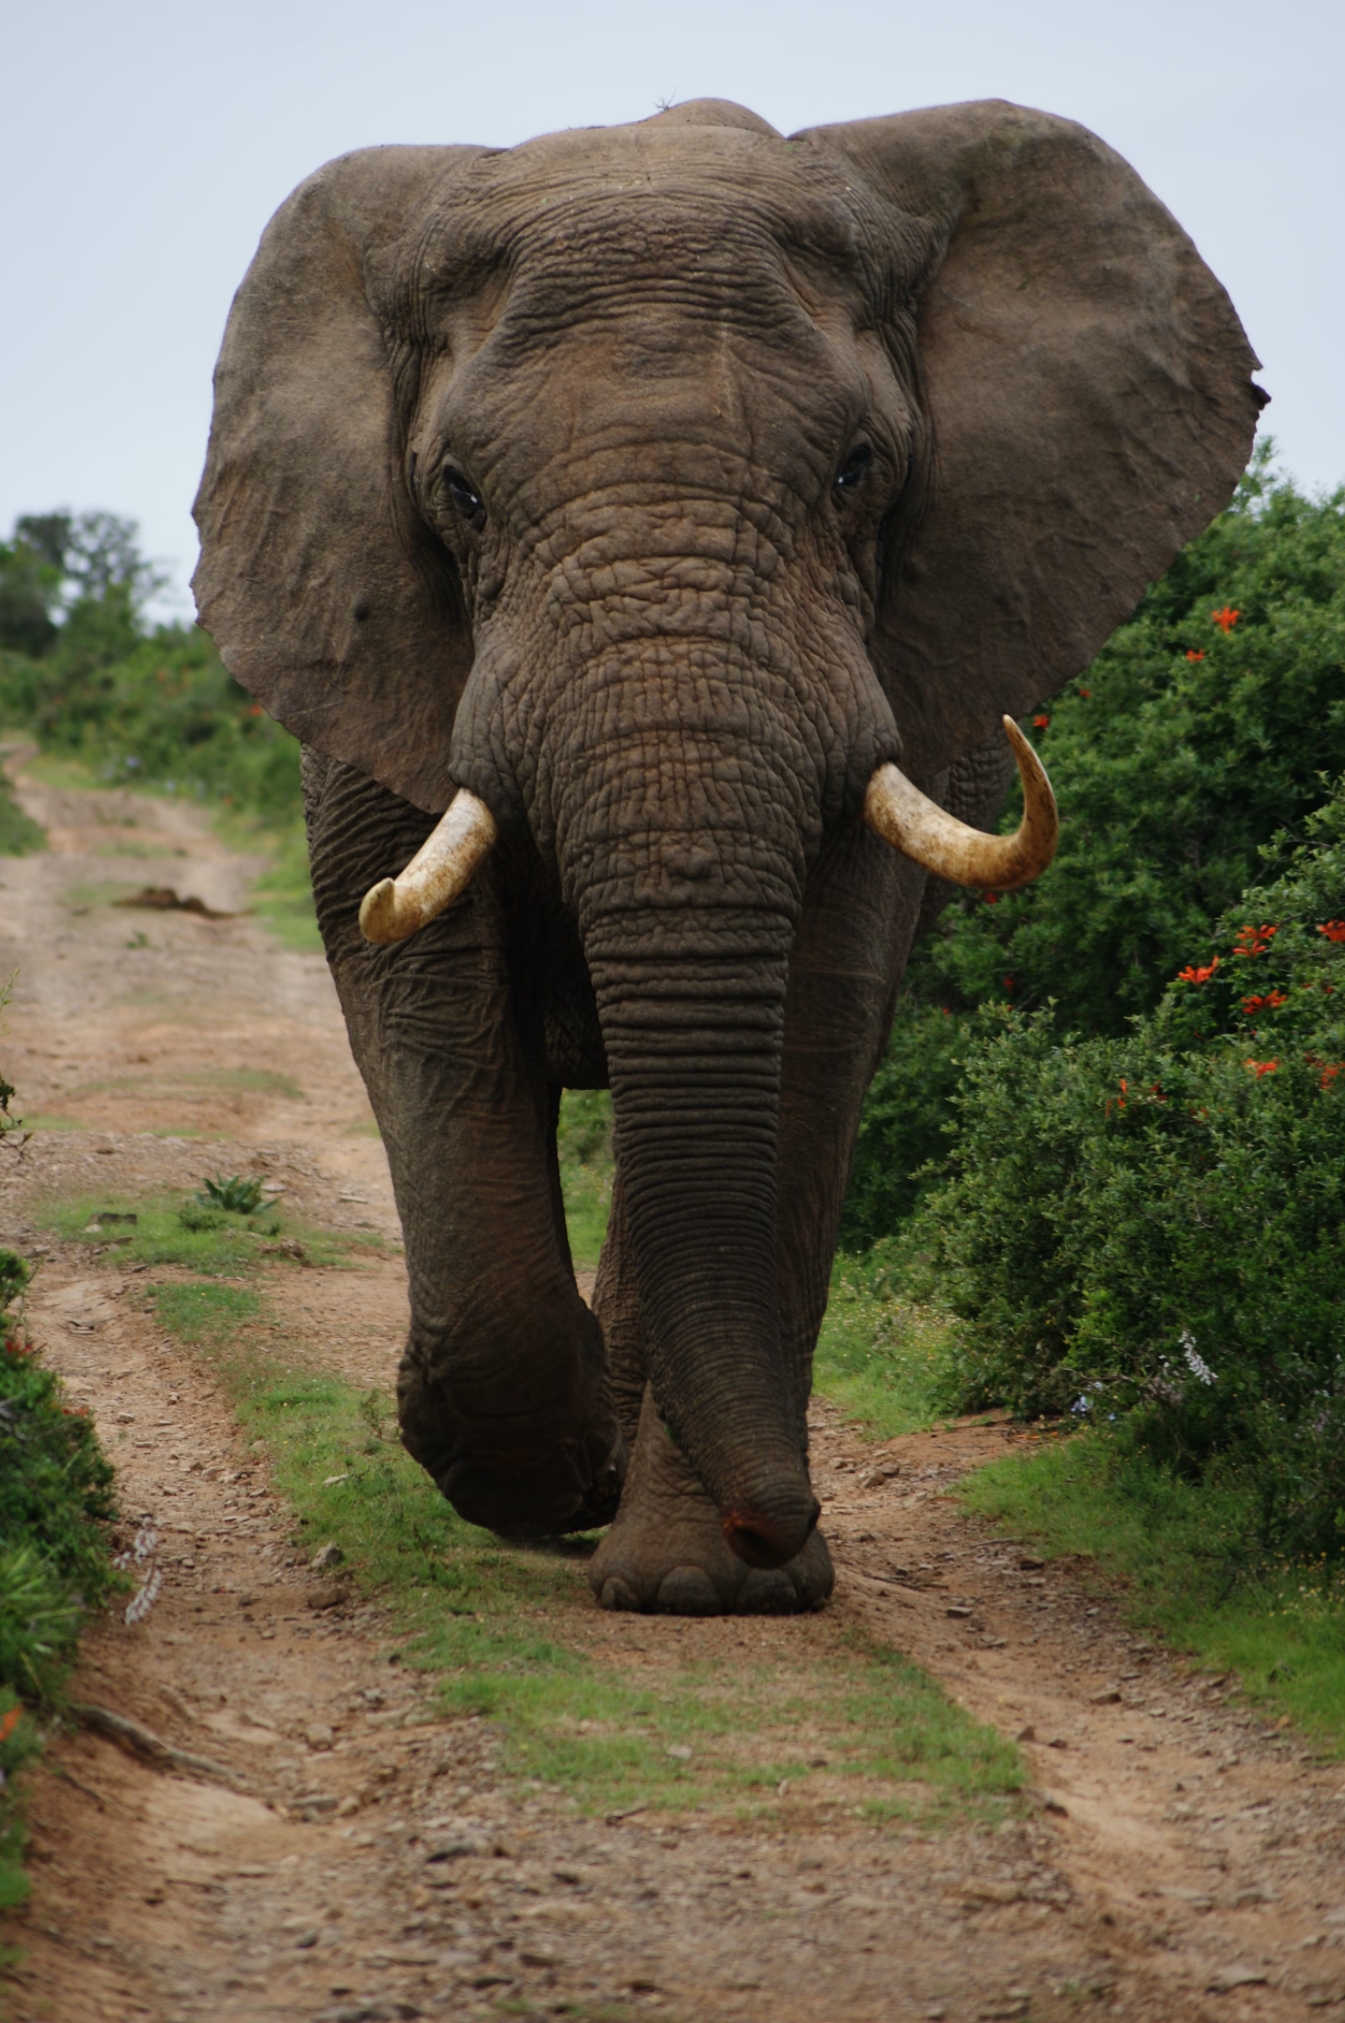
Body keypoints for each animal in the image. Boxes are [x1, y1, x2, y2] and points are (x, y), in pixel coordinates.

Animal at [191, 95, 1262, 1618]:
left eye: (860, 471)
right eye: (458, 493)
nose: (780, 1518)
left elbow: (811, 1020)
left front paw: (707, 1586)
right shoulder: (368, 645)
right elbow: (420, 994)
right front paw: (538, 1471)